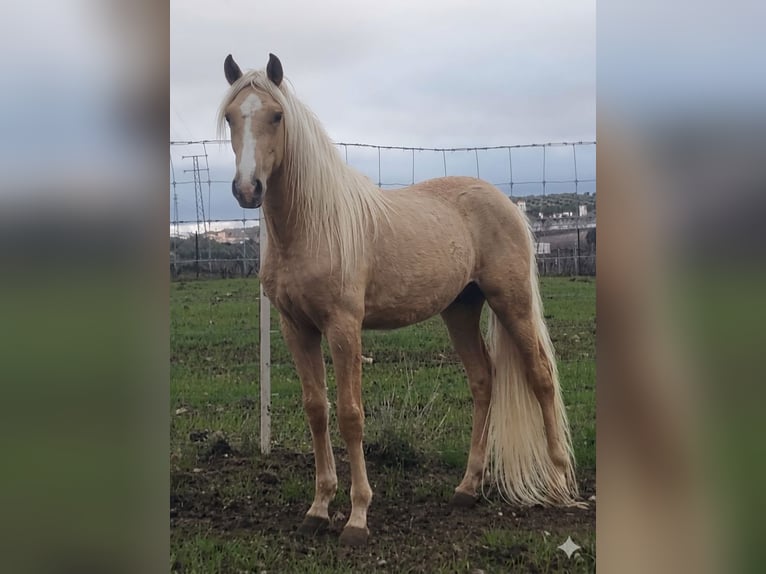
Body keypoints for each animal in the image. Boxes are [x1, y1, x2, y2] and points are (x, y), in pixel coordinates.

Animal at [218, 53, 579, 546]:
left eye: (276, 115)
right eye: (231, 116)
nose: (247, 189)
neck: (312, 225)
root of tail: (509, 205)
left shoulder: (344, 327)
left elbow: (351, 415)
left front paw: (357, 517)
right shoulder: (296, 328)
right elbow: (317, 410)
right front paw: (318, 509)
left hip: (512, 301)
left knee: (541, 376)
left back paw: (559, 480)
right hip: (461, 310)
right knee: (483, 381)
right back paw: (467, 487)